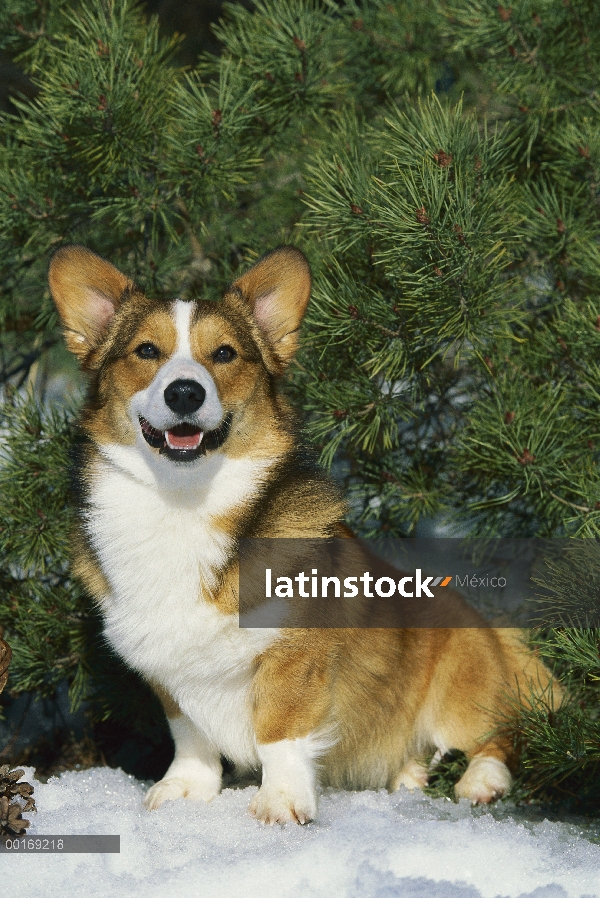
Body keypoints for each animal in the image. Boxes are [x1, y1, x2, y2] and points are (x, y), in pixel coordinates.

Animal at [49, 243, 556, 820]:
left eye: (225, 354)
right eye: (146, 350)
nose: (184, 393)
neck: (184, 501)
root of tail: (495, 631)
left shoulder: (294, 658)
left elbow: (280, 733)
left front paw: (282, 802)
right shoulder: (167, 671)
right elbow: (191, 736)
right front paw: (186, 789)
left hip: (462, 682)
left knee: (499, 739)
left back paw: (481, 781)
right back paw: (406, 776)